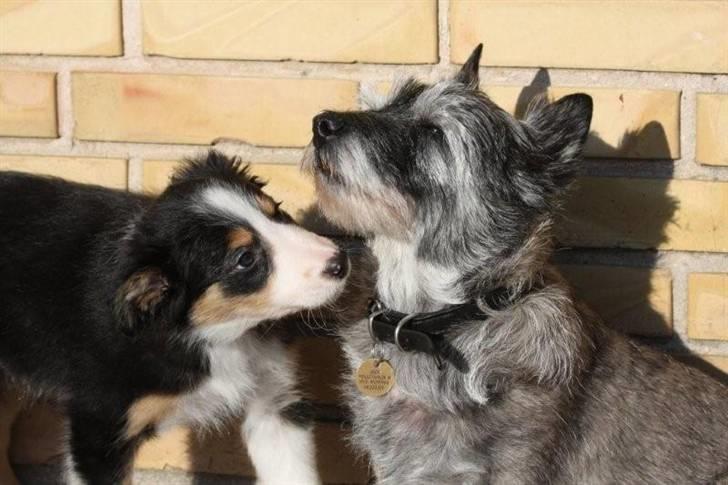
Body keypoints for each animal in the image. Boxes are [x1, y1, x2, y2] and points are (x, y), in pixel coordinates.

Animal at [0, 151, 348, 484]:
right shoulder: (98, 429)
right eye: (245, 259)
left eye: (276, 211)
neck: (210, 334)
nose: (340, 262)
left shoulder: (273, 400)